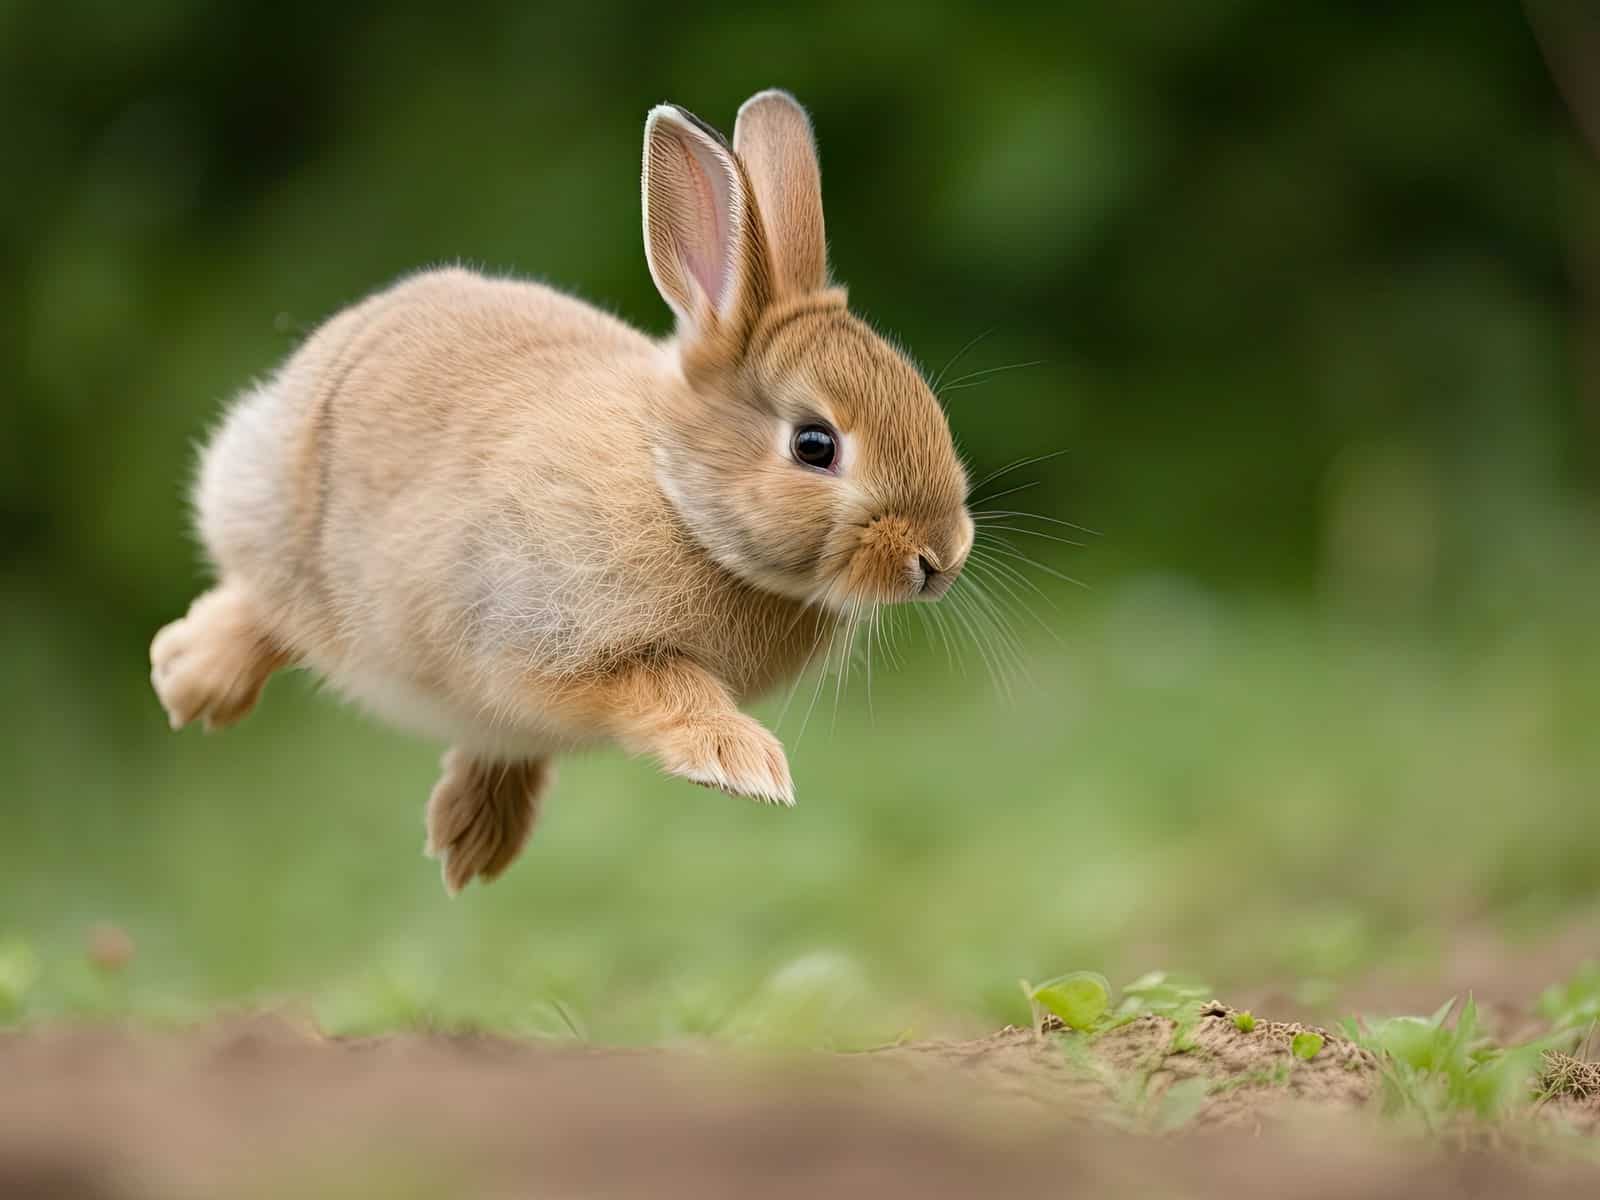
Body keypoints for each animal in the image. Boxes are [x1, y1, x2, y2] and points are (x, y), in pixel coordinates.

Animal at [149, 90, 975, 893]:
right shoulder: (546, 631)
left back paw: (475, 839)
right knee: (264, 601)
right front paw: (741, 765)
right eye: (815, 445)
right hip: (291, 523)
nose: (942, 558)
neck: (675, 492)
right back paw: (189, 679)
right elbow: (666, 684)